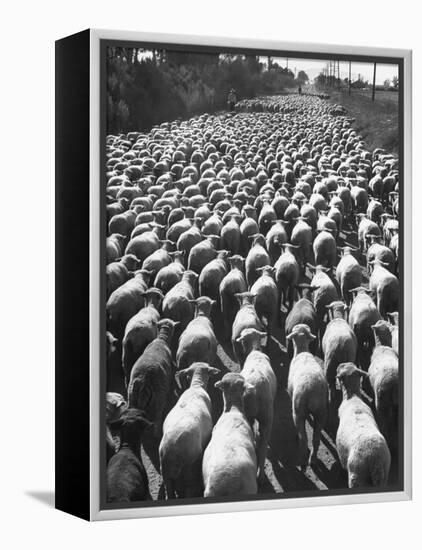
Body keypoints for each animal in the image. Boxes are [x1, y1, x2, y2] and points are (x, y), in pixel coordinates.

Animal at [159, 364, 221, 502]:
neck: (196, 386)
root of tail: (172, 450)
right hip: (189, 466)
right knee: (188, 487)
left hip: (165, 470)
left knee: (169, 491)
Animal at [286, 326, 328, 472]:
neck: (302, 351)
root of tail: (312, 391)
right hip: (321, 412)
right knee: (315, 439)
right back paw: (313, 460)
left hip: (298, 410)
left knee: (304, 439)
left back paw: (302, 460)